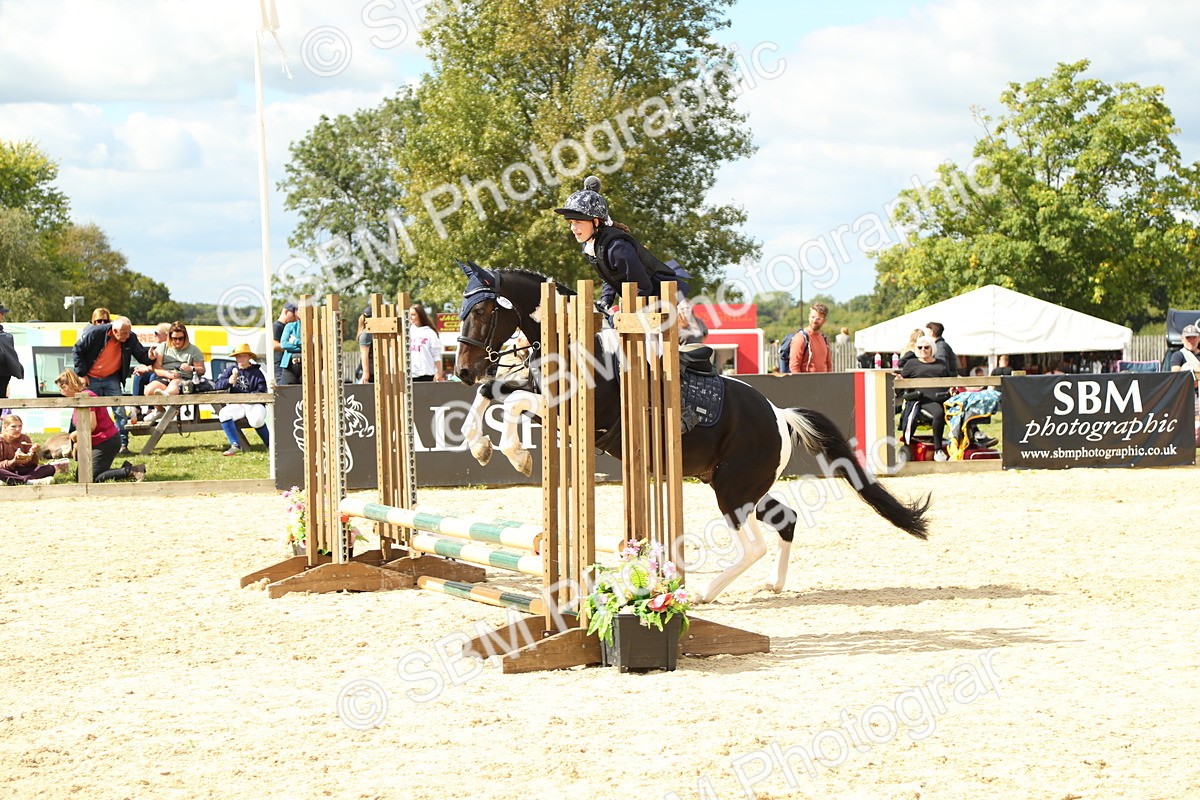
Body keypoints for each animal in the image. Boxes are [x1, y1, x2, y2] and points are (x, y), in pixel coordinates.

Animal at [451, 262, 930, 603]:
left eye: (484, 310)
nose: (462, 371)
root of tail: (780, 413)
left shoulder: (569, 410)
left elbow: (512, 403)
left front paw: (517, 455)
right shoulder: (538, 396)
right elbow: (493, 392)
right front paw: (479, 447)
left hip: (732, 489)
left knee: (752, 545)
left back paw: (701, 593)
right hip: (737, 484)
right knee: (786, 520)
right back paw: (772, 585)